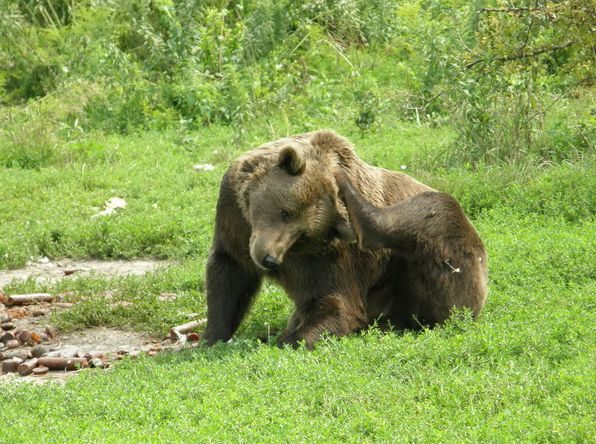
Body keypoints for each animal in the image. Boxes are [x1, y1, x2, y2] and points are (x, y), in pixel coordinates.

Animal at [203, 128, 486, 346]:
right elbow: (230, 273)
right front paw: (213, 336)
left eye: (300, 233)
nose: (269, 259)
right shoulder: (232, 216)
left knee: (429, 213)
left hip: (437, 272)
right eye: (285, 212)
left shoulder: (334, 257)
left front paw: (292, 338)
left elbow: (336, 302)